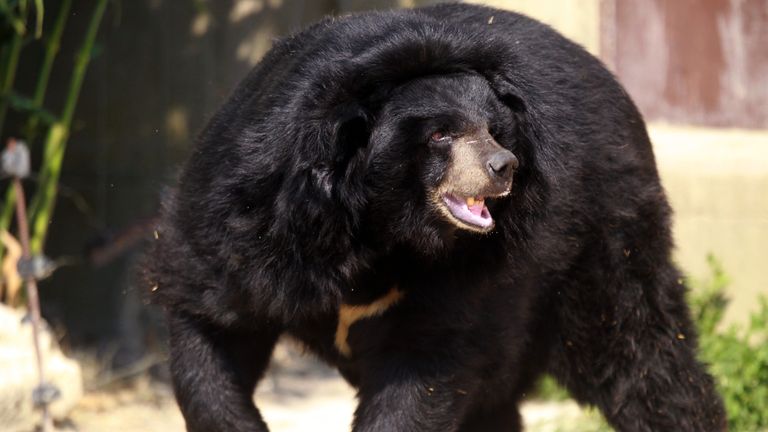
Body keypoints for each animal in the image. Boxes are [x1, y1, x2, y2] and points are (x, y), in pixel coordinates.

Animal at [144, 3, 727, 431]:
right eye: (441, 134)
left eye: (494, 128)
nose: (504, 166)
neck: (378, 230)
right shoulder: (247, 224)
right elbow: (212, 325)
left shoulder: (465, 279)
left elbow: (423, 370)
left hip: (601, 236)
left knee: (638, 349)